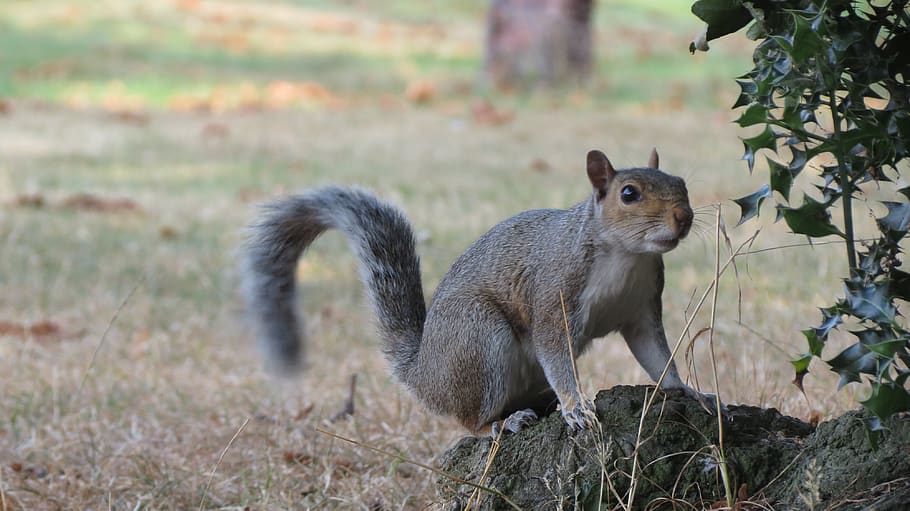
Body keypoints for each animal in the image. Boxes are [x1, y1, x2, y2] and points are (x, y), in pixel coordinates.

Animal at [241, 148, 716, 434]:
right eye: (629, 194)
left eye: (681, 183)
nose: (683, 217)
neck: (624, 256)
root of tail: (424, 374)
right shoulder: (553, 297)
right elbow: (557, 354)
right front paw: (576, 407)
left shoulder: (641, 310)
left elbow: (657, 356)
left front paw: (690, 391)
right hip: (478, 336)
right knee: (470, 421)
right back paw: (502, 424)